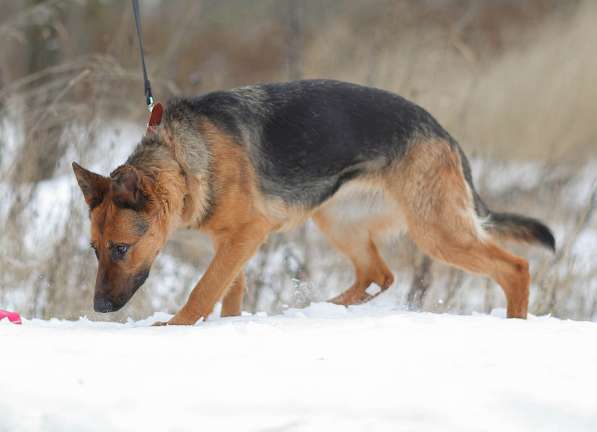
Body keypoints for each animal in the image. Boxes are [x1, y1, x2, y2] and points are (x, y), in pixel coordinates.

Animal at [73, 80, 556, 324]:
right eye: (95, 251)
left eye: (121, 249)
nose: (99, 308)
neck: (181, 158)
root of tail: (442, 132)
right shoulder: (232, 244)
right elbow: (229, 291)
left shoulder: (246, 235)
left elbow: (204, 288)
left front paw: (176, 328)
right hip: (337, 220)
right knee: (378, 275)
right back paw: (320, 309)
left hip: (436, 232)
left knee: (516, 268)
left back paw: (515, 324)